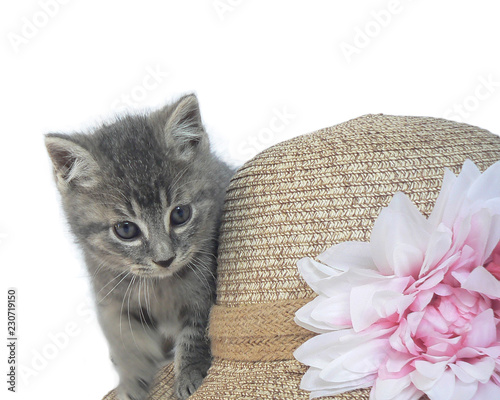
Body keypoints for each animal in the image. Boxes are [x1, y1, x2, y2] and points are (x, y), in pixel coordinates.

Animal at [45, 94, 234, 400]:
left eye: (180, 214)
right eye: (126, 230)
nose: (165, 259)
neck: (161, 285)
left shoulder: (205, 291)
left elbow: (197, 333)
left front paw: (189, 374)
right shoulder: (111, 299)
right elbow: (126, 343)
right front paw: (131, 385)